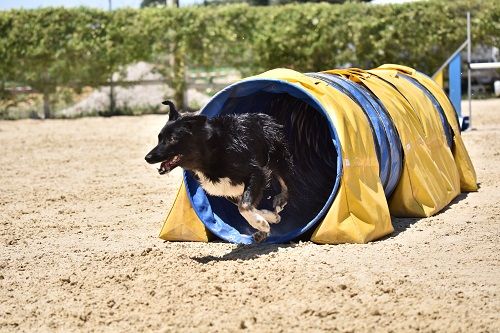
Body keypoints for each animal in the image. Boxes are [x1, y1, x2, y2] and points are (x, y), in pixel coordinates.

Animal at [145, 100, 292, 243]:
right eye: (159, 138)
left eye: (172, 139)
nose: (147, 157)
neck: (211, 153)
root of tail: (264, 116)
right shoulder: (228, 190)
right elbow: (245, 205)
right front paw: (269, 218)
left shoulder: (256, 172)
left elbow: (244, 206)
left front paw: (261, 223)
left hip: (277, 157)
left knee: (285, 182)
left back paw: (280, 199)